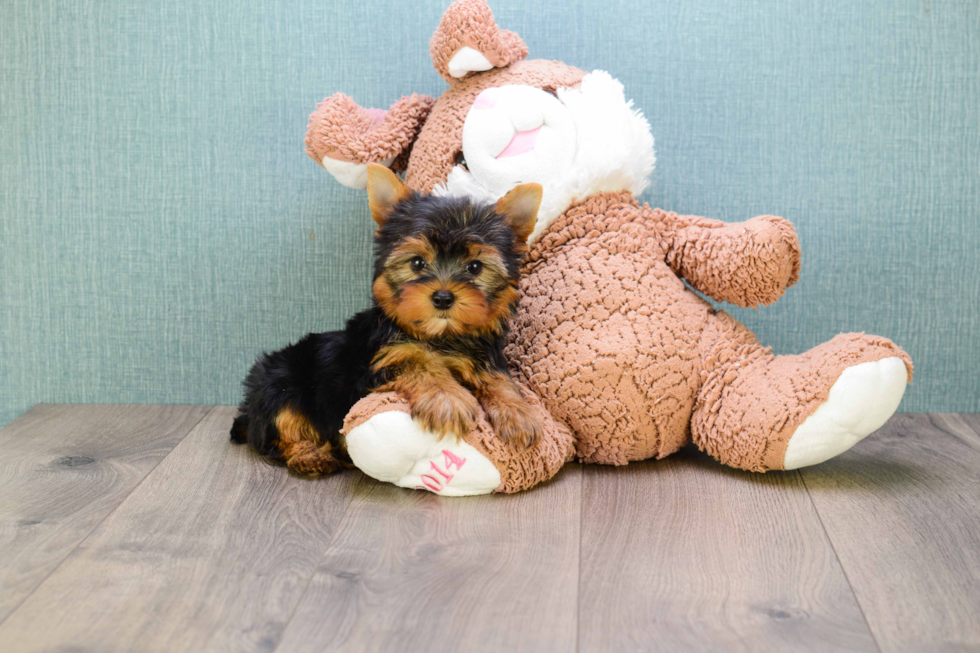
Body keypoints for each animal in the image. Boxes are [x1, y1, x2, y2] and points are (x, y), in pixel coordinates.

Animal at [231, 164, 544, 474]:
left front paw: (519, 412)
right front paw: (447, 398)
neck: (442, 336)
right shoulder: (381, 360)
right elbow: (417, 361)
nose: (443, 298)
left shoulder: (485, 356)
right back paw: (310, 454)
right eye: (417, 262)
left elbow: (498, 380)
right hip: (280, 382)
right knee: (282, 428)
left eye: (475, 267)